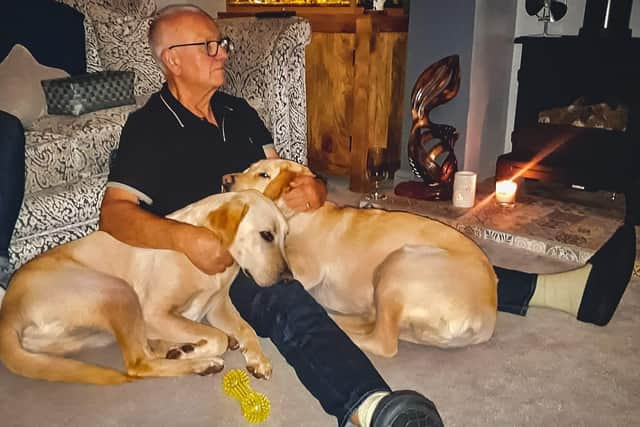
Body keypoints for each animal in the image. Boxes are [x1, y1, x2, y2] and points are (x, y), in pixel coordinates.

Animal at [0, 191, 288, 384]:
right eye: (266, 235)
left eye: (286, 236)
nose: (287, 278)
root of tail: (8, 310)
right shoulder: (154, 314)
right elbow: (215, 337)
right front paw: (194, 349)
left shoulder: (218, 305)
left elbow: (245, 329)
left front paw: (258, 359)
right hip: (116, 290)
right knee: (139, 363)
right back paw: (200, 361)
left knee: (147, 350)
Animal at [229, 160, 500, 358]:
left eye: (263, 174)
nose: (225, 180)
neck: (296, 215)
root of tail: (486, 318)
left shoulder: (304, 269)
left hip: (399, 265)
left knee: (383, 342)